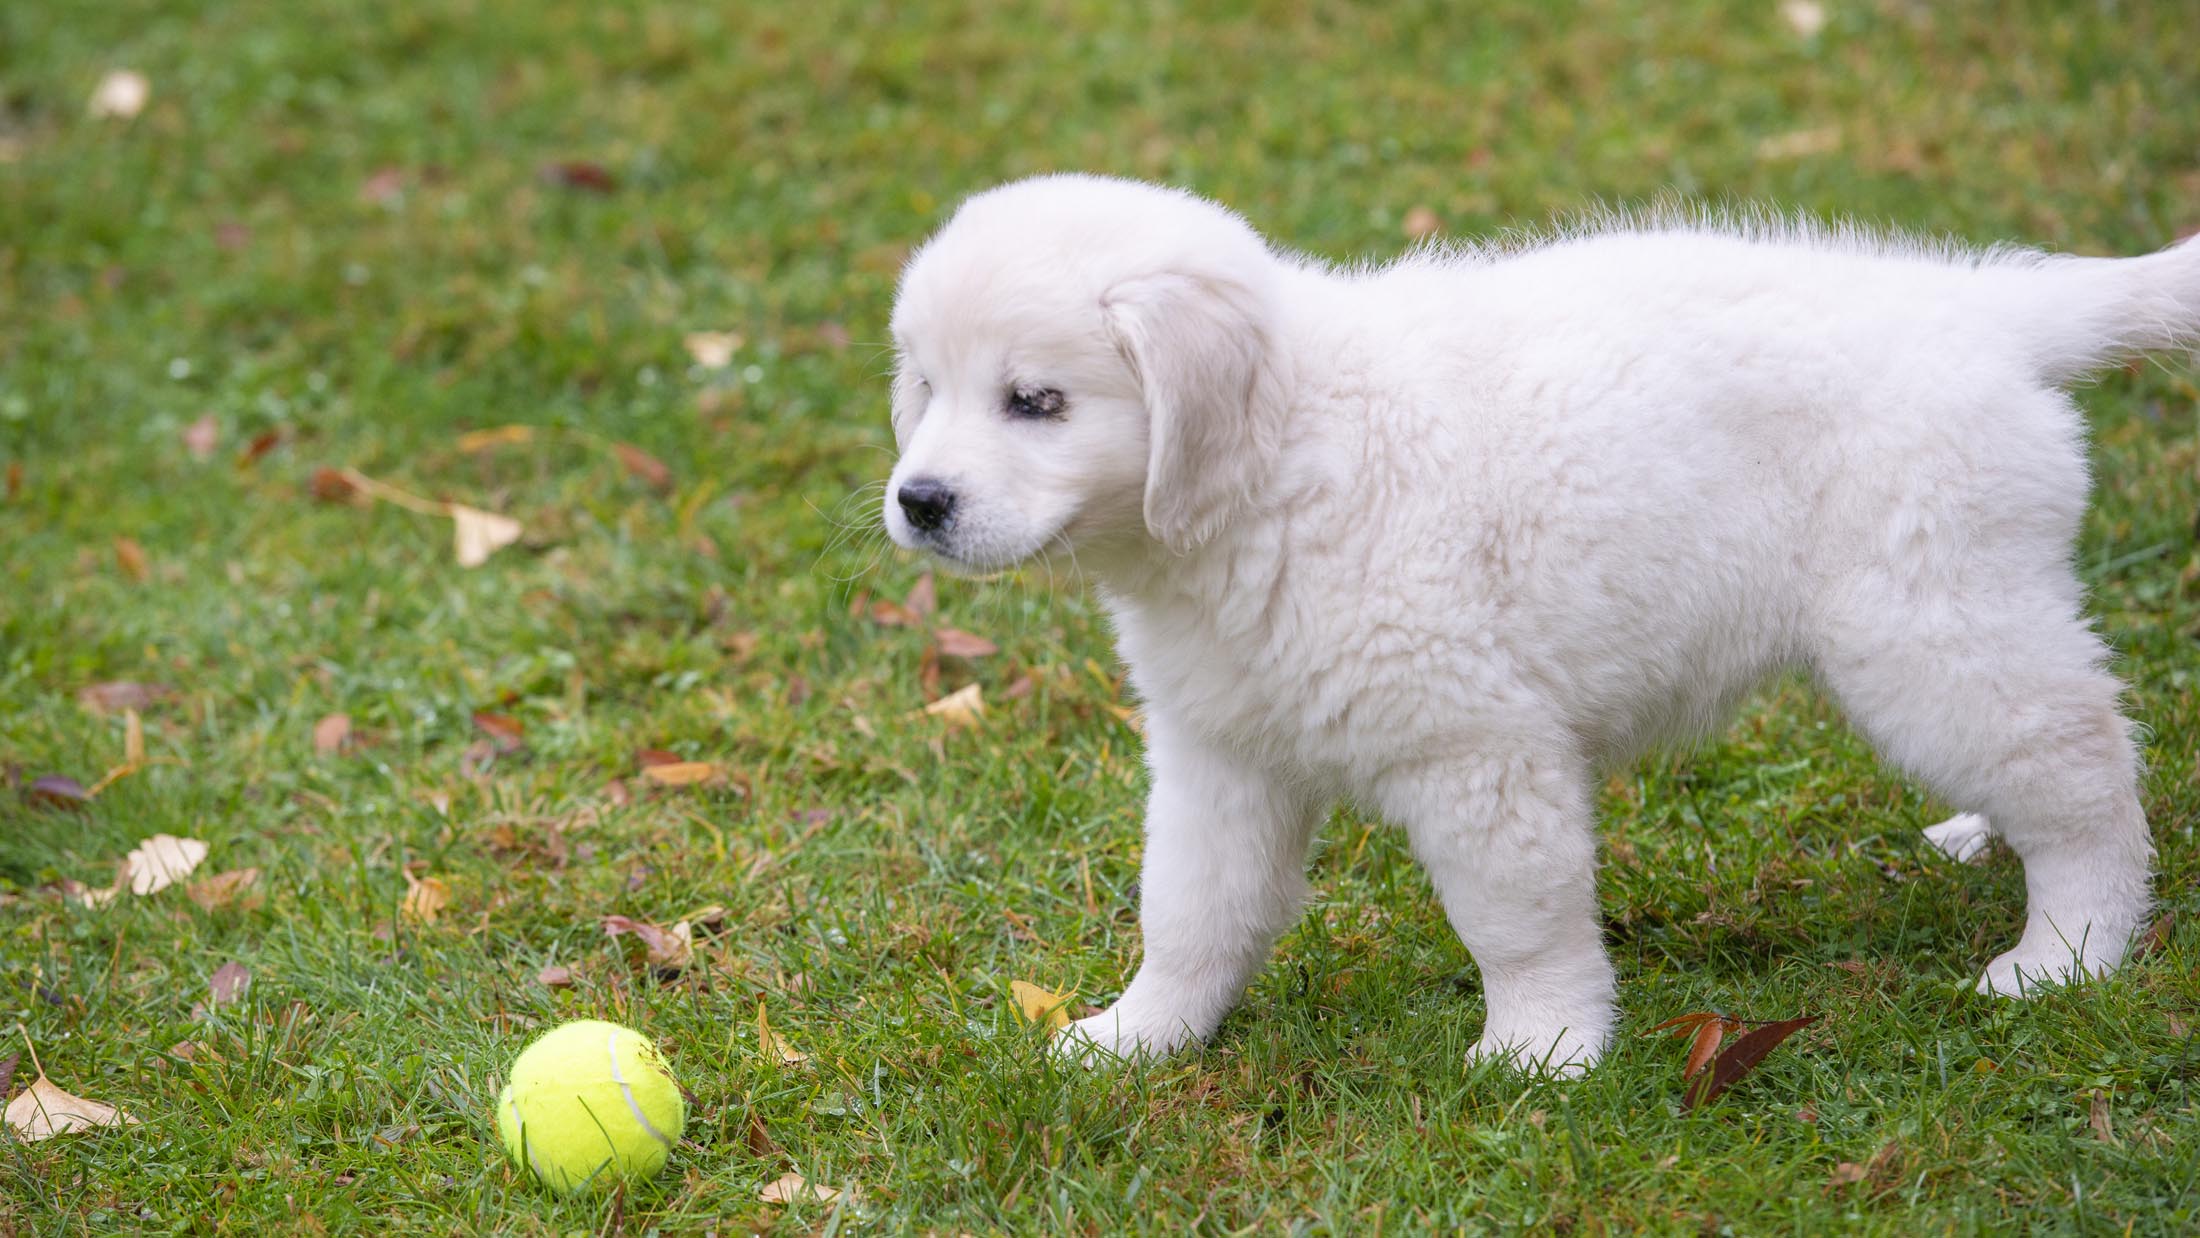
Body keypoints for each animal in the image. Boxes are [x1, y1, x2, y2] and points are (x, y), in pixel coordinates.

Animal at [879, 174, 2197, 1073]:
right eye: (927, 388)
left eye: (1035, 401)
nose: (918, 500)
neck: (1279, 464)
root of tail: (1983, 307)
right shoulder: (1223, 753)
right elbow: (1193, 911)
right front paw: (1137, 1036)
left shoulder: (1478, 747)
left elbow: (1515, 918)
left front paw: (1542, 1050)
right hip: (1959, 616)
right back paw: (1985, 837)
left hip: (1923, 622)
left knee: (2082, 769)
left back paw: (2064, 951)